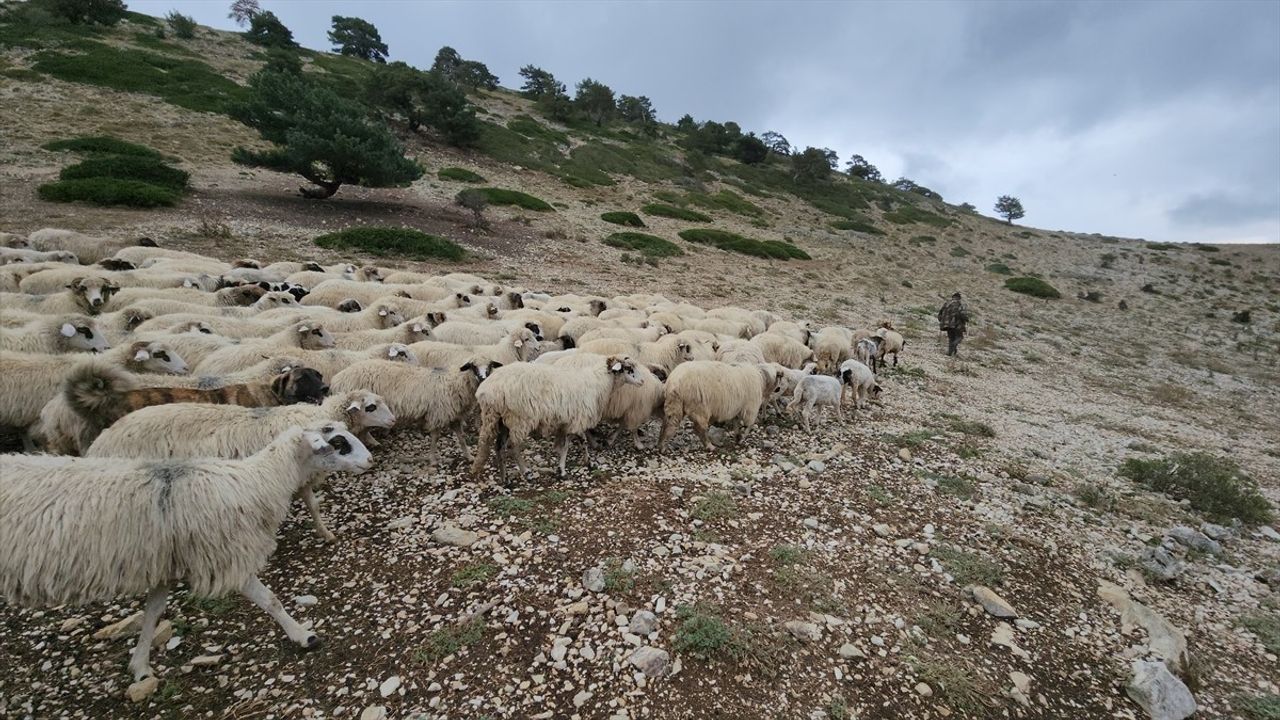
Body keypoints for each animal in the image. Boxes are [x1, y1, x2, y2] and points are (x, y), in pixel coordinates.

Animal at [0, 417, 373, 676]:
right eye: (337, 442)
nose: (369, 460)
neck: (257, 481)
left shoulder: (164, 563)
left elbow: (153, 611)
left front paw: (140, 666)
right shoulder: (226, 555)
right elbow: (271, 600)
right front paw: (303, 635)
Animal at [330, 358, 499, 466]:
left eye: (490, 366)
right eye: (473, 367)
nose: (483, 378)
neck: (455, 382)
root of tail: (337, 378)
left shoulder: (454, 416)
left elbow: (461, 437)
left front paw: (469, 456)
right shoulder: (439, 413)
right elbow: (435, 437)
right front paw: (433, 460)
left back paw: (372, 442)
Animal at [473, 351, 645, 479]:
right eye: (628, 368)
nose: (643, 381)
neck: (600, 382)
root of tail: (487, 391)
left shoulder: (570, 420)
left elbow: (574, 441)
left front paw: (580, 462)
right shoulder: (578, 418)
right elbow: (574, 442)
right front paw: (566, 468)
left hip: (501, 420)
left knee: (499, 447)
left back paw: (505, 478)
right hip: (519, 419)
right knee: (512, 446)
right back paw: (526, 473)